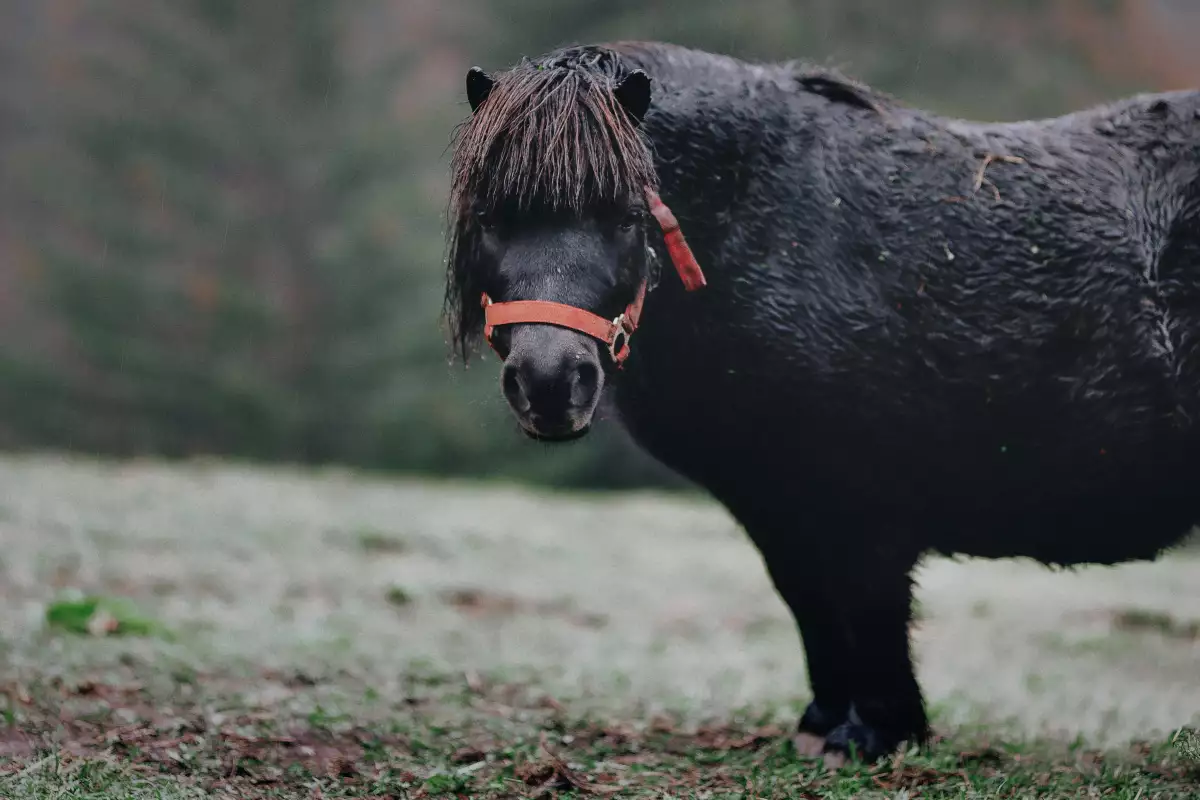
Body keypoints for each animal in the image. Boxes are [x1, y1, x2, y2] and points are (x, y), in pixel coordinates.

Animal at [444, 42, 1200, 762]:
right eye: (488, 215)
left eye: (628, 216)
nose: (549, 382)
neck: (770, 226)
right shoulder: (780, 505)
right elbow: (812, 605)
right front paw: (824, 726)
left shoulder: (866, 508)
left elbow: (869, 610)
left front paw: (875, 735)